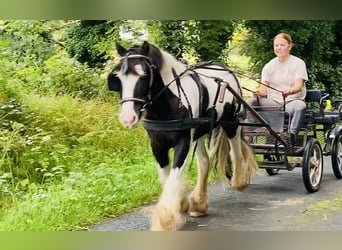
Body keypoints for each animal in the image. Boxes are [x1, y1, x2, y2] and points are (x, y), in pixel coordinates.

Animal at [107, 40, 256, 230]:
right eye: (118, 78)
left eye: (144, 75)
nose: (127, 118)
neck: (169, 103)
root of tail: (224, 69)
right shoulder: (157, 145)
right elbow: (166, 177)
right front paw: (181, 203)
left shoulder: (183, 142)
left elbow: (174, 175)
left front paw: (165, 220)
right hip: (199, 131)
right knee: (205, 161)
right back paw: (199, 204)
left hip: (231, 122)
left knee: (235, 152)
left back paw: (239, 181)